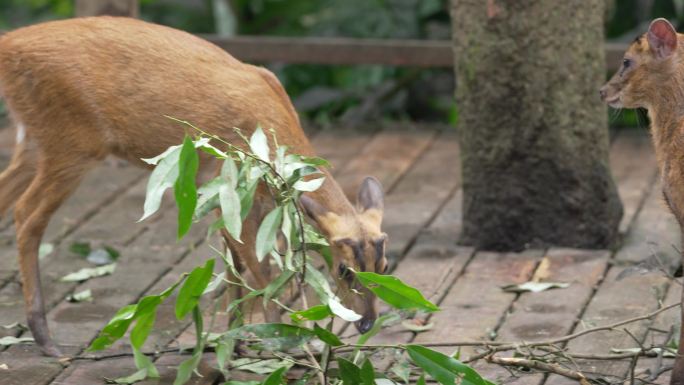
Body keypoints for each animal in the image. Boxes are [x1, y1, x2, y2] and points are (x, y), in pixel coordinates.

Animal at [0, 15, 388, 356]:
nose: (367, 322)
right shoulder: (228, 184)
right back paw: (44, 337)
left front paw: (238, 341)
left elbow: (237, 266)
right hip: (72, 139)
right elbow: (260, 269)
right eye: (345, 270)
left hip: (36, 137)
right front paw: (283, 342)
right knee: (27, 215)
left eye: (384, 267)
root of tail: (9, 45)